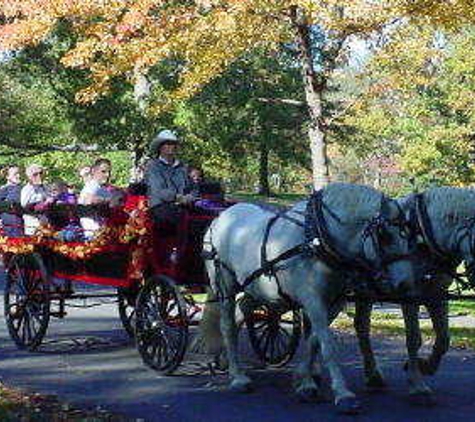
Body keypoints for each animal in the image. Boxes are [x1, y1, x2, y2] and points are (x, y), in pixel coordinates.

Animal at [203, 183, 414, 414]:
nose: (406, 282)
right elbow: (327, 345)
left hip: (256, 288)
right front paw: (343, 394)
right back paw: (238, 377)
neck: (317, 238)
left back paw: (225, 360)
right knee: (227, 325)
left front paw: (305, 381)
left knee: (241, 312)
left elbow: (314, 340)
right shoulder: (313, 300)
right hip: (225, 285)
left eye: (409, 235)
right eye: (385, 235)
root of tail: (221, 216)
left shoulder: (333, 302)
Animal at [354, 188, 475, 402]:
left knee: (361, 326)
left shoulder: (437, 294)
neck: (423, 235)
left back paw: (373, 375)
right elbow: (413, 338)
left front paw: (426, 366)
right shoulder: (409, 294)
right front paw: (417, 385)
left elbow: (444, 339)